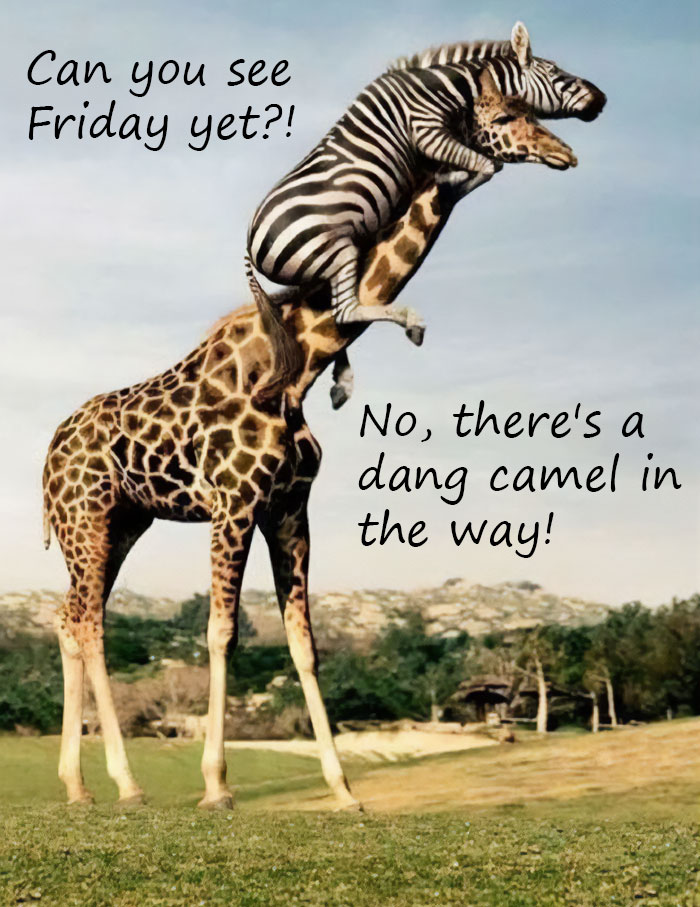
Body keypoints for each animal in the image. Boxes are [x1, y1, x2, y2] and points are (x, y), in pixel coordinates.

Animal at [246, 21, 606, 398]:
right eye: (555, 73)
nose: (602, 99)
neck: (444, 86)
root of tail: (249, 245)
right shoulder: (426, 132)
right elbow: (487, 166)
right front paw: (450, 179)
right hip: (335, 251)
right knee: (344, 312)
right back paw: (411, 324)